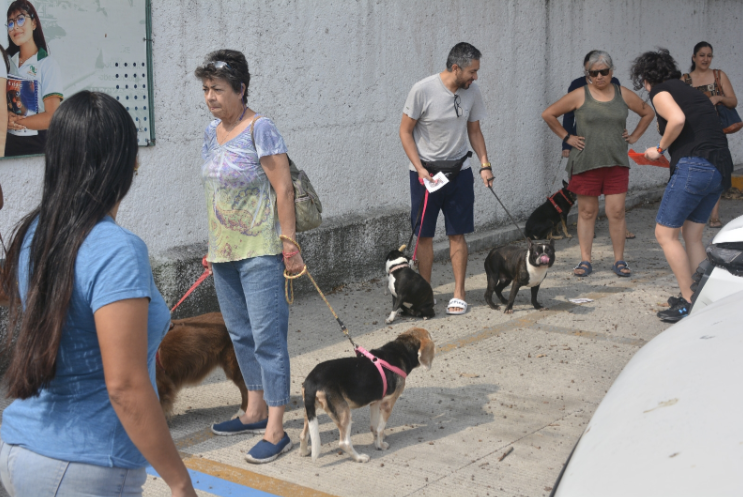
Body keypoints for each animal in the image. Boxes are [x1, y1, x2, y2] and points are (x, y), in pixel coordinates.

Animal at [298, 328, 436, 464]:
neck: (400, 350)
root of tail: (312, 379)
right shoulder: (387, 404)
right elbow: (380, 428)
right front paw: (380, 445)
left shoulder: (375, 402)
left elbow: (374, 427)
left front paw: (377, 439)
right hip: (344, 413)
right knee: (344, 442)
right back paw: (359, 458)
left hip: (309, 411)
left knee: (303, 435)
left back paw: (304, 452)